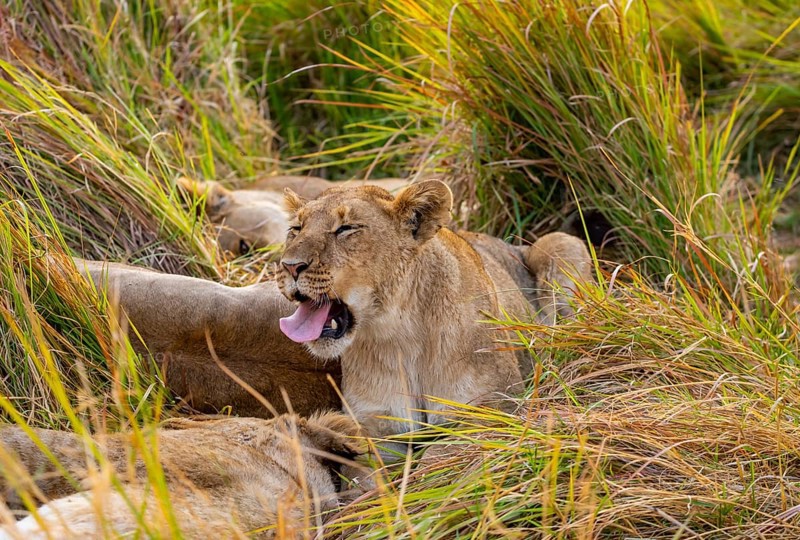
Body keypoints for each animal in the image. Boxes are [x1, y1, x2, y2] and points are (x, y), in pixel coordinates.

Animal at [276, 181, 593, 442]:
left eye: (346, 228)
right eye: (296, 229)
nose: (290, 266)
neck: (400, 336)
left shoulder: (490, 407)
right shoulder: (375, 424)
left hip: (561, 242)